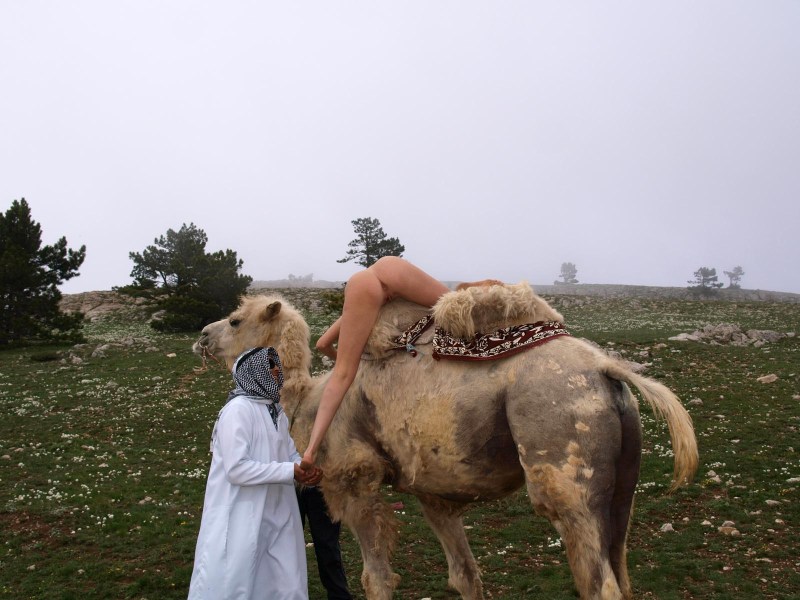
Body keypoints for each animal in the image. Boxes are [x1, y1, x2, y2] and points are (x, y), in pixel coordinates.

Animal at [193, 283, 698, 600]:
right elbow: (465, 576)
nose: (201, 336)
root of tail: (606, 370)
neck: (308, 400)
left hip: (563, 455)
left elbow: (377, 579)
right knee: (622, 570)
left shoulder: (355, 479)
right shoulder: (432, 493)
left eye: (235, 320)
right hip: (622, 483)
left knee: (599, 581)